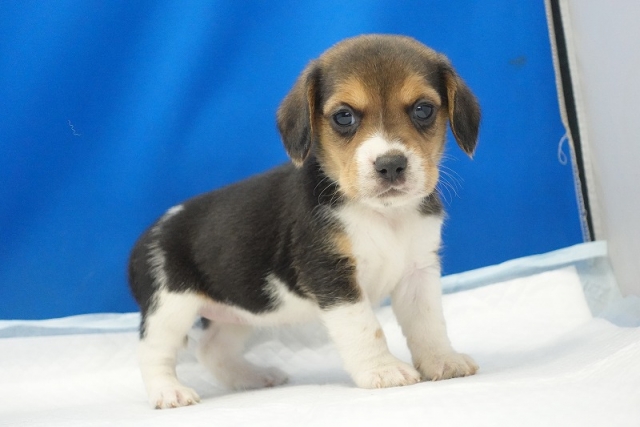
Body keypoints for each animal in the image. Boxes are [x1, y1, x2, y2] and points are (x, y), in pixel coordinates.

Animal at [128, 34, 480, 409]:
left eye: (423, 109)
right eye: (344, 116)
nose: (390, 165)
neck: (382, 214)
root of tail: (149, 235)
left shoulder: (418, 272)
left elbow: (428, 324)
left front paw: (442, 360)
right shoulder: (333, 277)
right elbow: (365, 329)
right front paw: (382, 370)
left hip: (242, 310)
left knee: (212, 350)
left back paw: (251, 378)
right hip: (170, 309)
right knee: (152, 353)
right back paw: (169, 392)